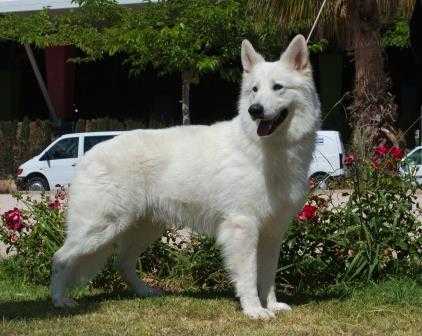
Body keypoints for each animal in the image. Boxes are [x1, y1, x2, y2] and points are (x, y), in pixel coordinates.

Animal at [50, 34, 320, 320]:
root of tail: (87, 155)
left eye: (278, 87)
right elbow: (248, 276)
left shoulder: (272, 233)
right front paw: (254, 310)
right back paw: (59, 300)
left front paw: (272, 305)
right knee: (60, 259)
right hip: (98, 229)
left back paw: (144, 292)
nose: (254, 110)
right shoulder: (243, 228)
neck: (269, 149)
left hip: (143, 229)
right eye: (254, 90)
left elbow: (267, 276)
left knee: (123, 263)